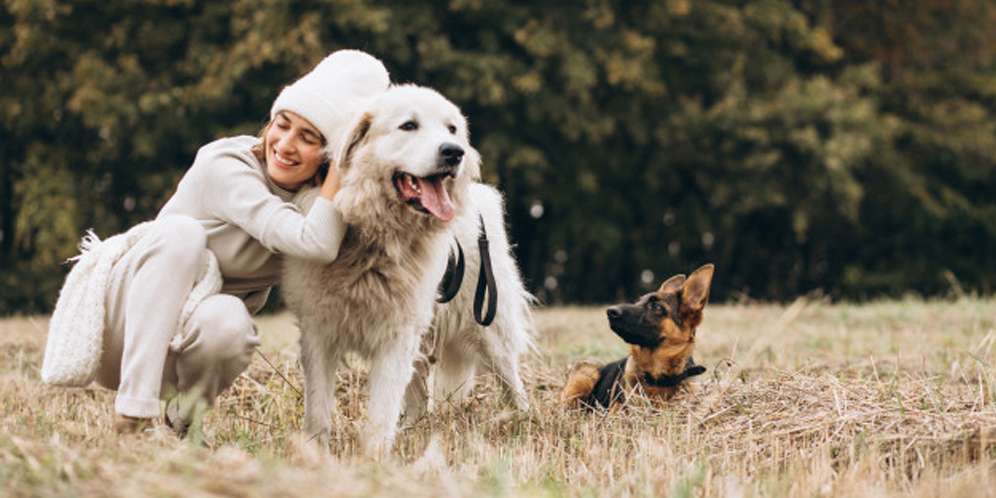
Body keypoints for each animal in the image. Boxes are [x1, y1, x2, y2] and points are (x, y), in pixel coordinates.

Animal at [280, 85, 532, 456]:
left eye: (452, 129)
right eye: (409, 126)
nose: (454, 152)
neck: (376, 240)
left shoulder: (396, 334)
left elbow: (382, 409)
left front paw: (374, 459)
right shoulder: (319, 331)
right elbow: (318, 409)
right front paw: (315, 452)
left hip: (488, 325)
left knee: (510, 377)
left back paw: (528, 420)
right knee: (417, 389)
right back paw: (414, 429)